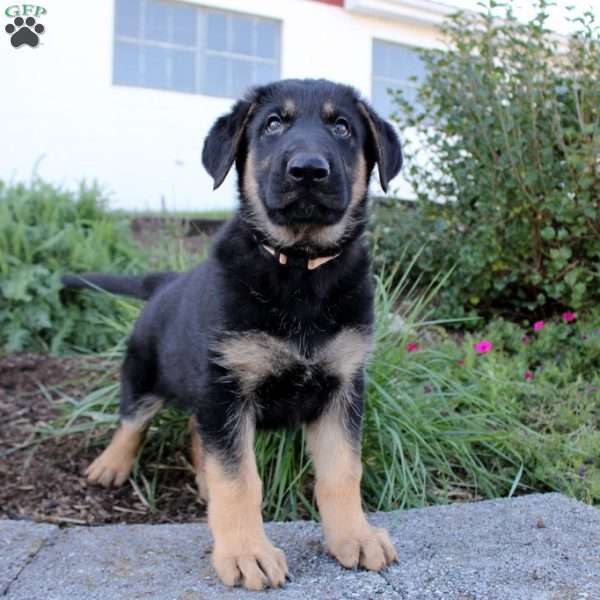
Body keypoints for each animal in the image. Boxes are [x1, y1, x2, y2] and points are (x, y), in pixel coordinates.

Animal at [62, 78, 404, 592]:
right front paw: (247, 553)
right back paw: (112, 464)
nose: (308, 170)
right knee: (133, 419)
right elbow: (240, 480)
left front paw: (354, 536)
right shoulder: (227, 387)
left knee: (194, 429)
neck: (299, 268)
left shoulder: (342, 387)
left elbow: (343, 470)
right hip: (146, 371)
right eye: (273, 124)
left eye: (342, 127)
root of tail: (165, 282)